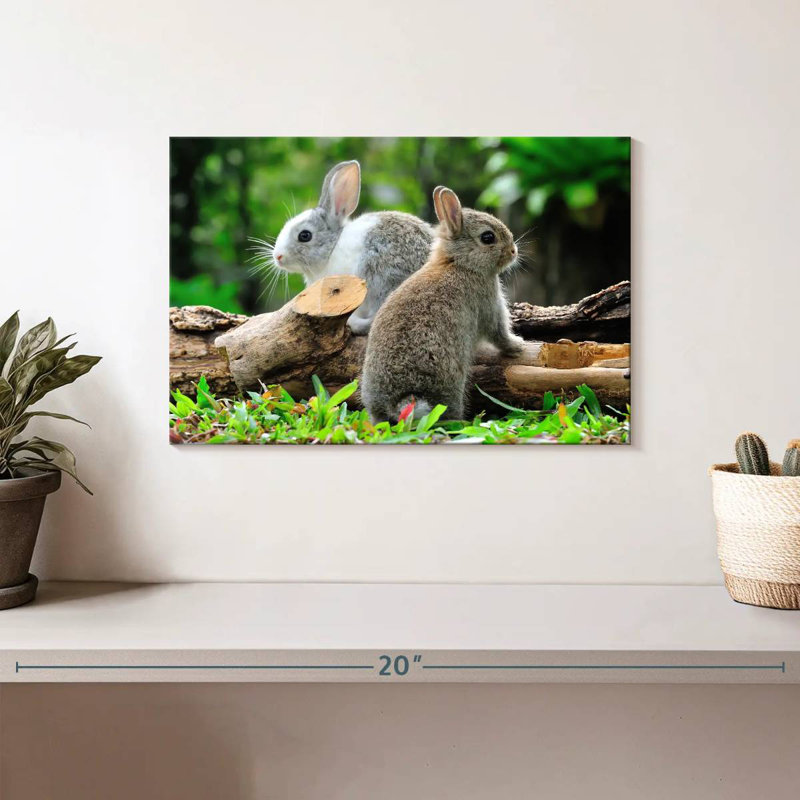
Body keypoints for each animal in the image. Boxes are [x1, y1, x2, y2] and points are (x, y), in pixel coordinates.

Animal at [361, 186, 525, 423]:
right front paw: (518, 345)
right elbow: (499, 334)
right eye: (488, 237)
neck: (459, 263)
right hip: (450, 384)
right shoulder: (489, 304)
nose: (513, 251)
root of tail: (400, 401)